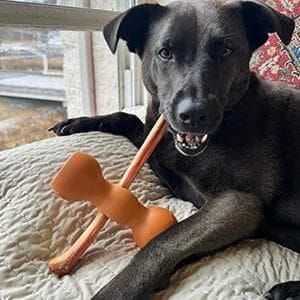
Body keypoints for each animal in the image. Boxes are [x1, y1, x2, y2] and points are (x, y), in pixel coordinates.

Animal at [50, 1, 298, 298]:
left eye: (226, 51)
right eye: (165, 53)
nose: (194, 114)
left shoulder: (239, 204)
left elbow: (163, 241)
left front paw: (118, 290)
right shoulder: (162, 152)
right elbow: (130, 119)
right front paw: (80, 122)